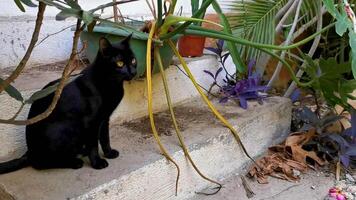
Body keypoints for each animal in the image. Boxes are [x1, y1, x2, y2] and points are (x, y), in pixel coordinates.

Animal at [0, 34, 136, 173]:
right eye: (120, 63)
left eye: (133, 61)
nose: (133, 72)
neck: (113, 84)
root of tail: (29, 153)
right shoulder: (91, 121)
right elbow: (93, 144)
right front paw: (97, 162)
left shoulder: (104, 118)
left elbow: (105, 137)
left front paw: (109, 153)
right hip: (68, 128)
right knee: (40, 163)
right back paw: (75, 162)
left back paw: (81, 151)